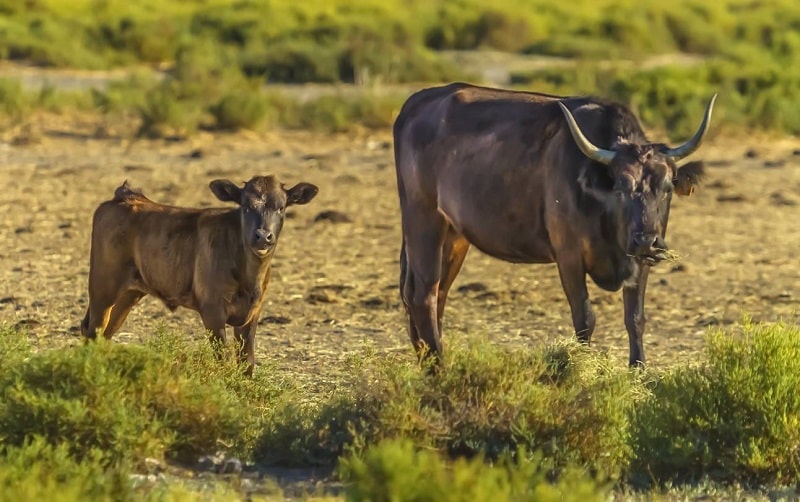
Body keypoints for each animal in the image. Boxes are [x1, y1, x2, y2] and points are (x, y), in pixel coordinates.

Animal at [80, 175, 318, 374]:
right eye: (246, 206)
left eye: (281, 207)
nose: (263, 236)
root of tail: (125, 196)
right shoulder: (212, 312)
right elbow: (222, 360)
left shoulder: (252, 314)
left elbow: (247, 363)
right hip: (103, 289)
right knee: (93, 332)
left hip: (129, 294)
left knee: (105, 333)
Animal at [396, 81, 716, 364]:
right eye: (621, 187)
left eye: (667, 188)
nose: (646, 240)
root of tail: (420, 101)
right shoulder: (569, 256)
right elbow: (585, 319)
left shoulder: (641, 262)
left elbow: (635, 318)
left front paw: (639, 370)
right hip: (423, 222)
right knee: (424, 295)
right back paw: (438, 367)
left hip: (454, 236)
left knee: (436, 294)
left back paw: (428, 360)